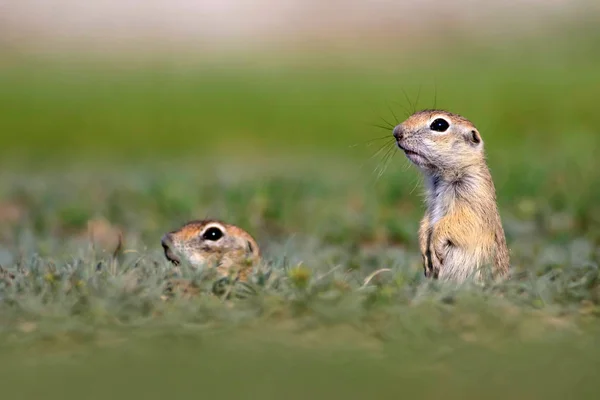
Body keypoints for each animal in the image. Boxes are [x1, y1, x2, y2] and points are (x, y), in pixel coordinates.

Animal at [394, 109, 510, 282]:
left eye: (439, 124)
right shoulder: (432, 203)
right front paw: (424, 248)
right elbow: (426, 222)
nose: (396, 132)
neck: (442, 177)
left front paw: (435, 245)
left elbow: (462, 222)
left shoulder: (474, 196)